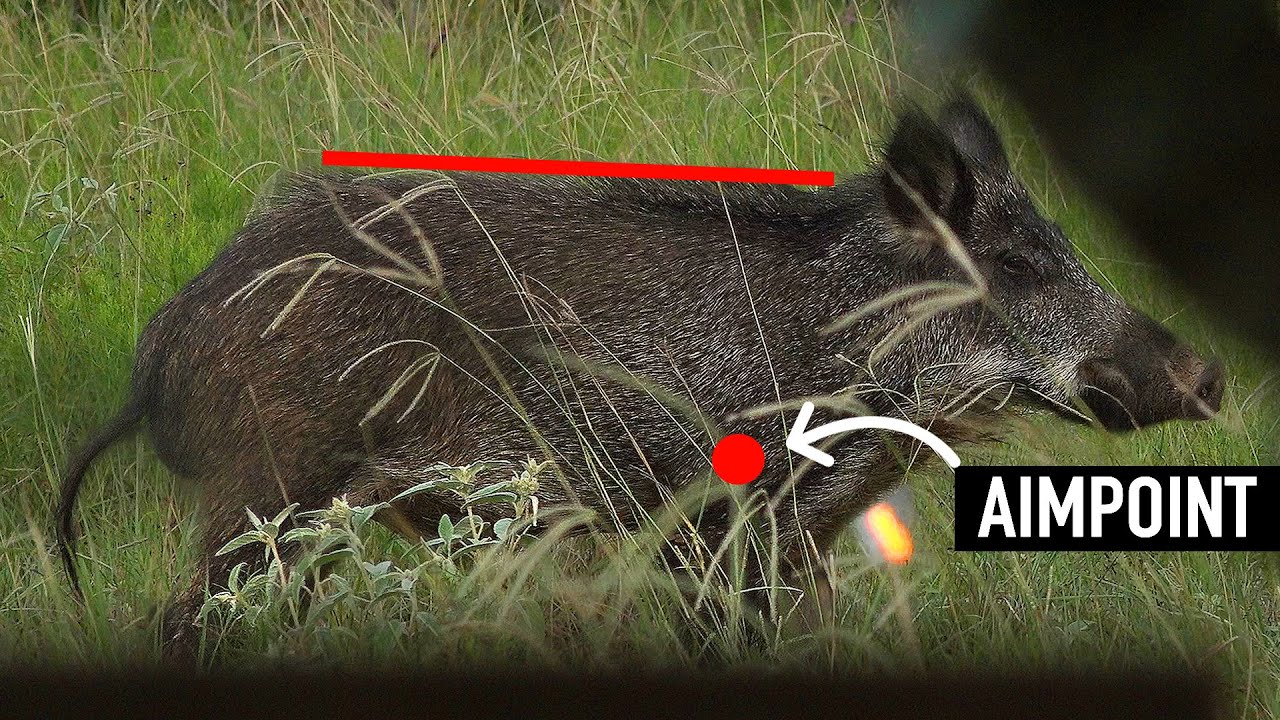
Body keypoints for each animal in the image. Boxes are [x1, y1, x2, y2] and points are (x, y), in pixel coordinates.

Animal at [56, 96, 1223, 648]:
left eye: (1063, 244)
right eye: (1017, 264)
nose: (1206, 375)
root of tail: (165, 344)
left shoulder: (801, 540)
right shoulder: (720, 525)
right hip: (269, 490)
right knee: (182, 625)